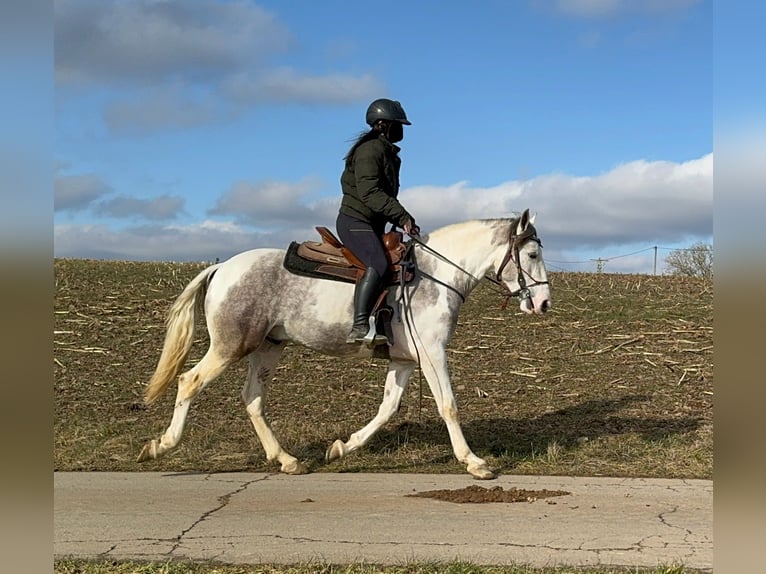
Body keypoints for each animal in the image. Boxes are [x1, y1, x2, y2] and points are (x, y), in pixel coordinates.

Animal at [138, 209, 552, 480]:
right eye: (532, 254)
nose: (544, 303)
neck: (436, 275)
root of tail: (222, 268)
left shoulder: (404, 360)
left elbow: (388, 408)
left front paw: (342, 447)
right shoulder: (433, 354)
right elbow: (448, 405)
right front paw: (475, 462)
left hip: (269, 347)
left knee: (252, 398)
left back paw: (286, 459)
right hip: (230, 346)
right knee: (189, 382)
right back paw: (161, 445)